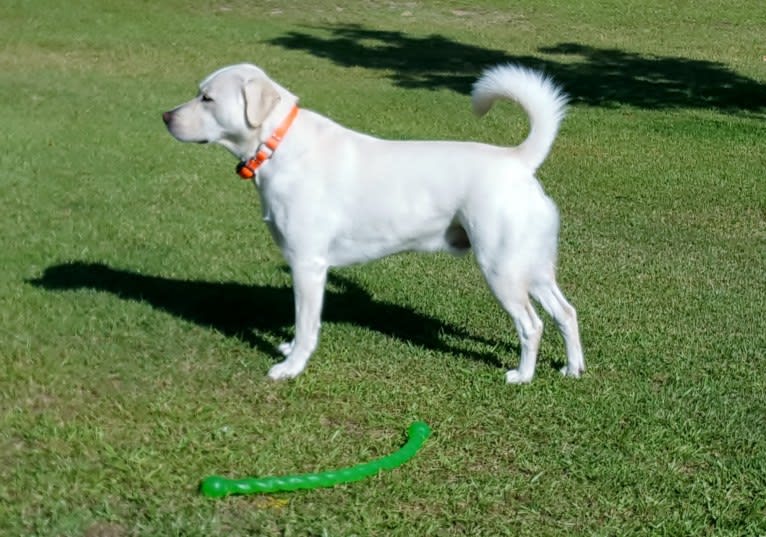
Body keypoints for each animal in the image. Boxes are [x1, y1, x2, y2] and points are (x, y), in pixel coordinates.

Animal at [160, 61, 584, 382]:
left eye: (207, 98)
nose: (165, 117)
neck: (277, 145)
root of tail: (518, 161)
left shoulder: (308, 265)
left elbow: (305, 325)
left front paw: (290, 367)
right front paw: (288, 349)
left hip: (501, 270)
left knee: (532, 325)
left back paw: (522, 376)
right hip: (532, 267)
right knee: (566, 313)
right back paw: (573, 368)